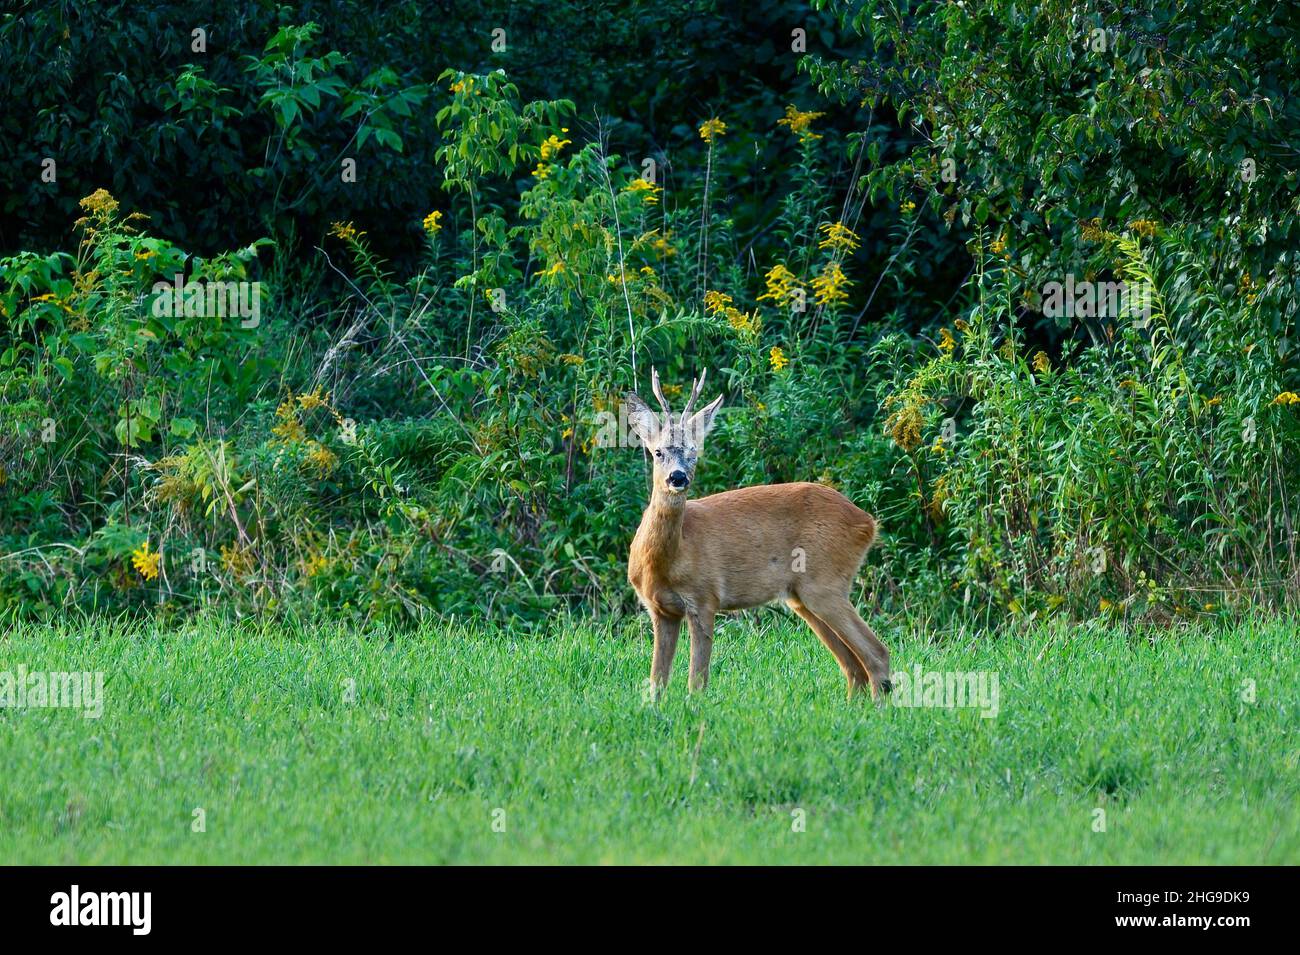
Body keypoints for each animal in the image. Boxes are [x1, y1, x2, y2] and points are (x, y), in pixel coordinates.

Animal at [621, 369, 889, 696]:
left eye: (694, 452)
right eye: (658, 452)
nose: (678, 477)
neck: (665, 561)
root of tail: (867, 523)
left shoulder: (705, 597)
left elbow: (697, 681)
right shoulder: (661, 610)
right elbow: (656, 682)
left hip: (824, 583)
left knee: (876, 653)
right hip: (802, 596)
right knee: (853, 667)